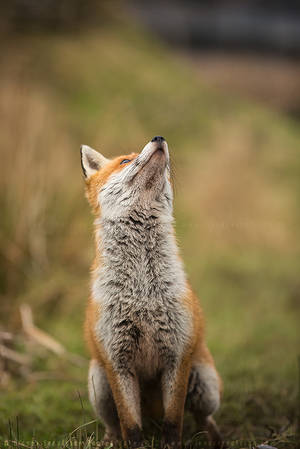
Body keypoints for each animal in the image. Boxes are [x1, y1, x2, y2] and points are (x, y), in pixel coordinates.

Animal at [81, 137, 221, 448]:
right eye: (124, 161)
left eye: (166, 171)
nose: (159, 139)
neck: (142, 290)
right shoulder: (117, 361)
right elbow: (130, 426)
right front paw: (133, 443)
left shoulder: (177, 355)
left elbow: (174, 421)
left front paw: (171, 444)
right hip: (99, 384)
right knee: (114, 423)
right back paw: (110, 439)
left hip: (205, 384)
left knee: (202, 417)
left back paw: (214, 436)